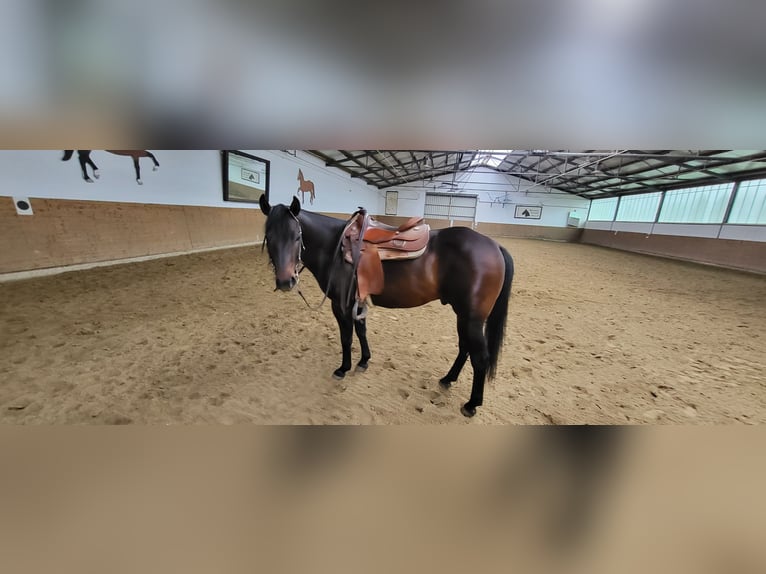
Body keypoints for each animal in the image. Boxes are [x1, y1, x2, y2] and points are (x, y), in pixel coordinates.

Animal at [259, 195, 514, 418]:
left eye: (296, 236)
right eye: (269, 237)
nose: (285, 281)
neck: (334, 247)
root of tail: (495, 246)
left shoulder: (340, 305)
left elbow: (346, 337)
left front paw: (343, 368)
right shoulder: (357, 301)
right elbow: (361, 330)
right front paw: (363, 361)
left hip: (472, 318)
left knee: (480, 357)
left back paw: (472, 404)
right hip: (462, 314)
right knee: (464, 348)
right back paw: (447, 379)